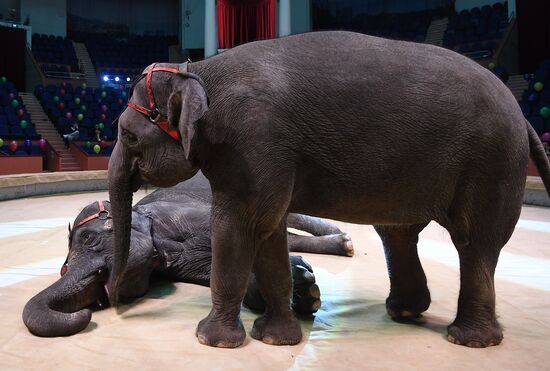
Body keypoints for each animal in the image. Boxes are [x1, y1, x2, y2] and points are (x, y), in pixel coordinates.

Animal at [22, 173, 354, 338]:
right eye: (63, 269)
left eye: (88, 238)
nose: (87, 313)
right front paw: (304, 290)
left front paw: (302, 283)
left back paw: (345, 239)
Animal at [108, 29, 550, 348]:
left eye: (128, 136)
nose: (113, 303)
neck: (200, 68)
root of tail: (524, 118)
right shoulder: (267, 157)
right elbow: (267, 231)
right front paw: (275, 338)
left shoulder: (251, 142)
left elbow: (238, 225)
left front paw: (211, 341)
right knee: (399, 233)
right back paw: (406, 313)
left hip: (491, 164)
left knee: (475, 243)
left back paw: (468, 340)